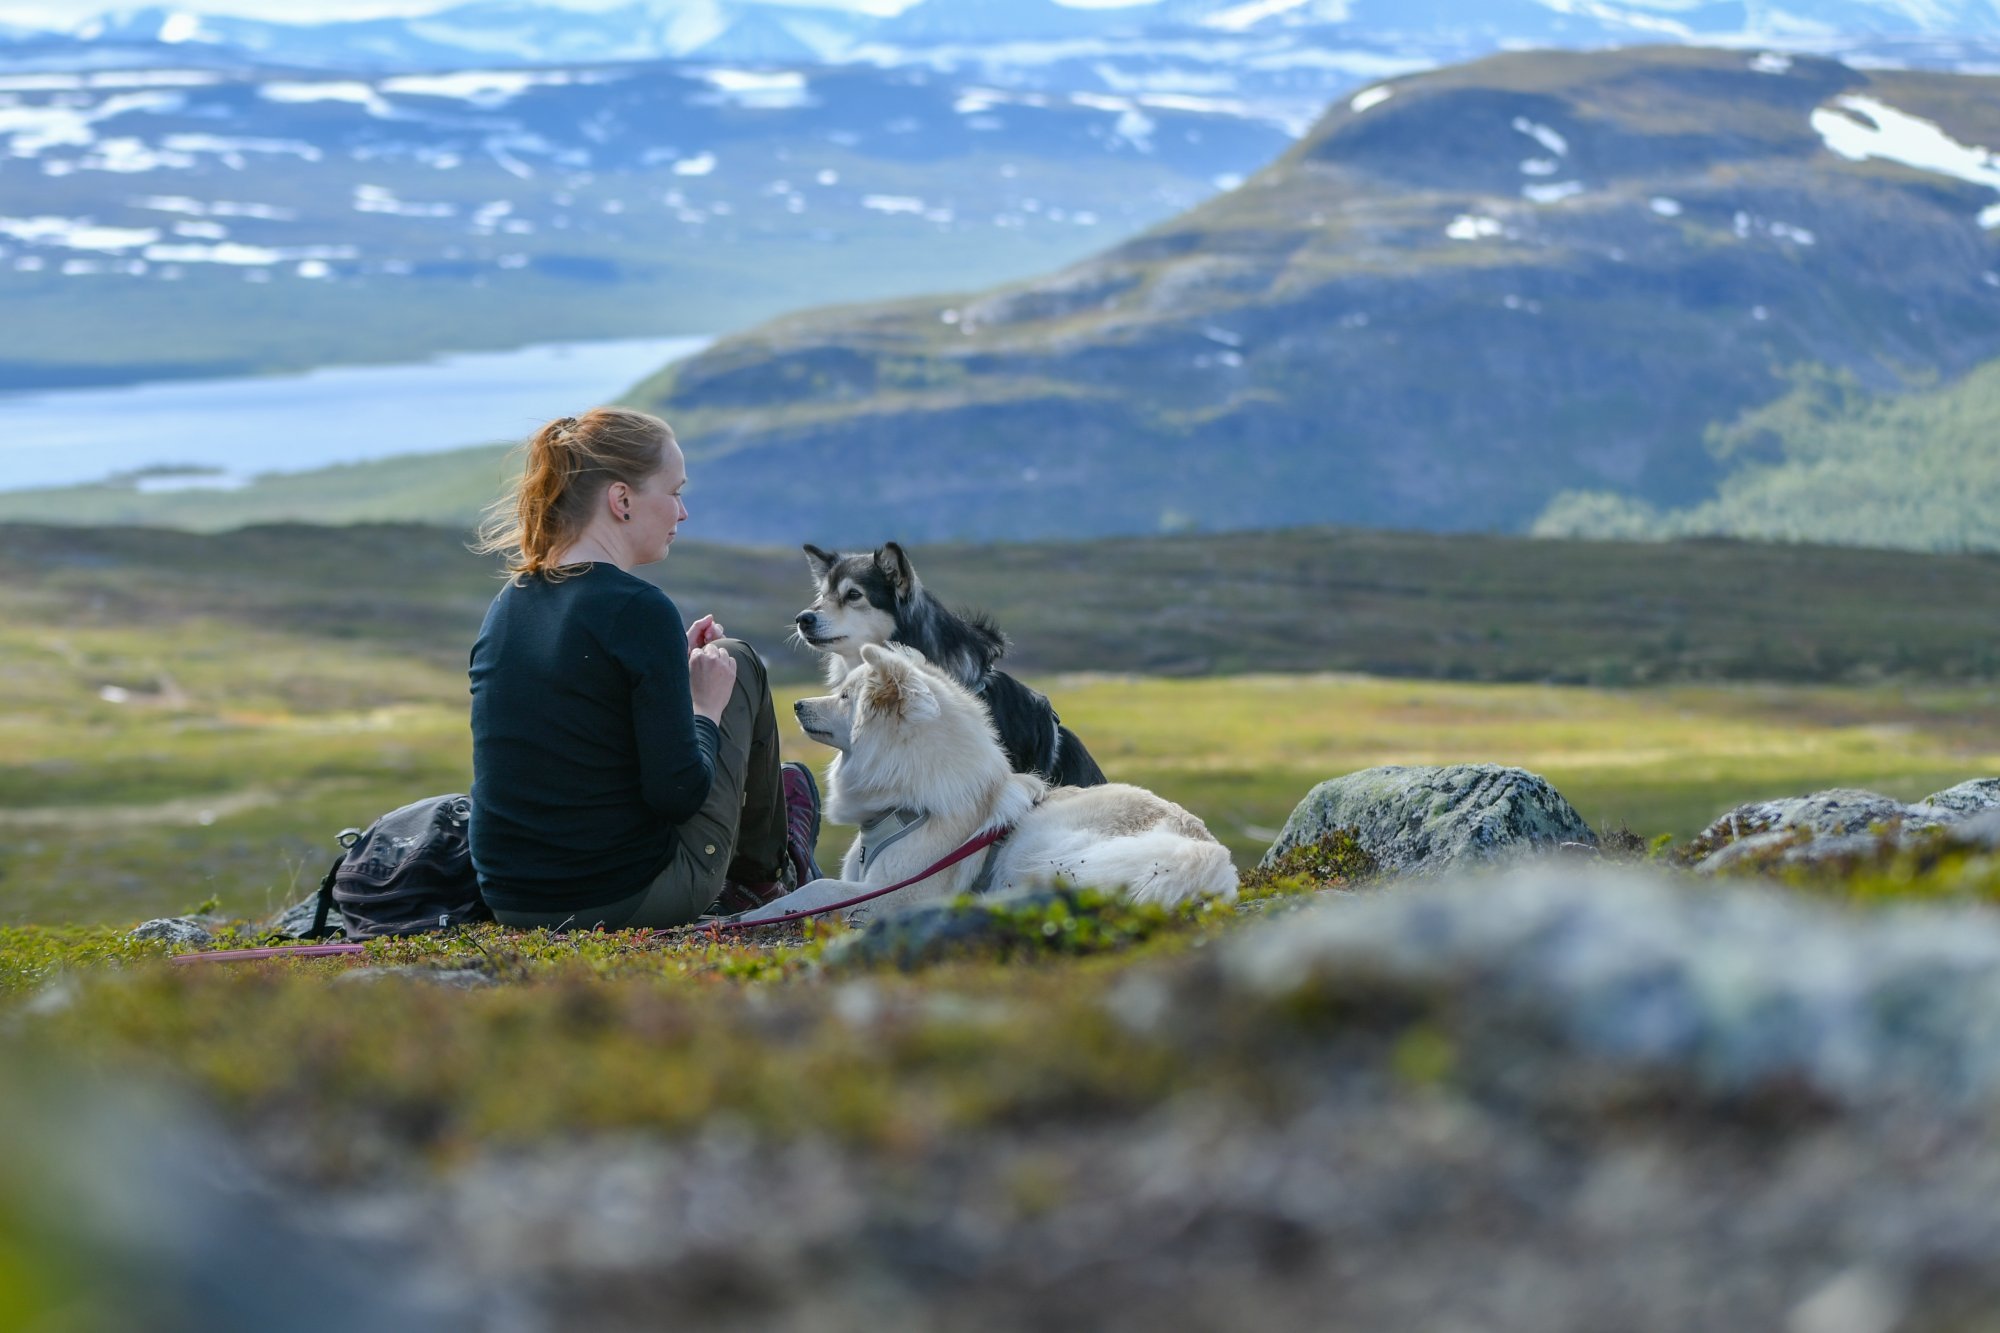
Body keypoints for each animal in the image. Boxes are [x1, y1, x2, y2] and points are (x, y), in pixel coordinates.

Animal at [736, 644, 1232, 924]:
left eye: (844, 697)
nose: (796, 704)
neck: (908, 802)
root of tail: (1211, 857)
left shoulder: (901, 892)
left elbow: (814, 891)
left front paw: (755, 912)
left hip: (1041, 852)